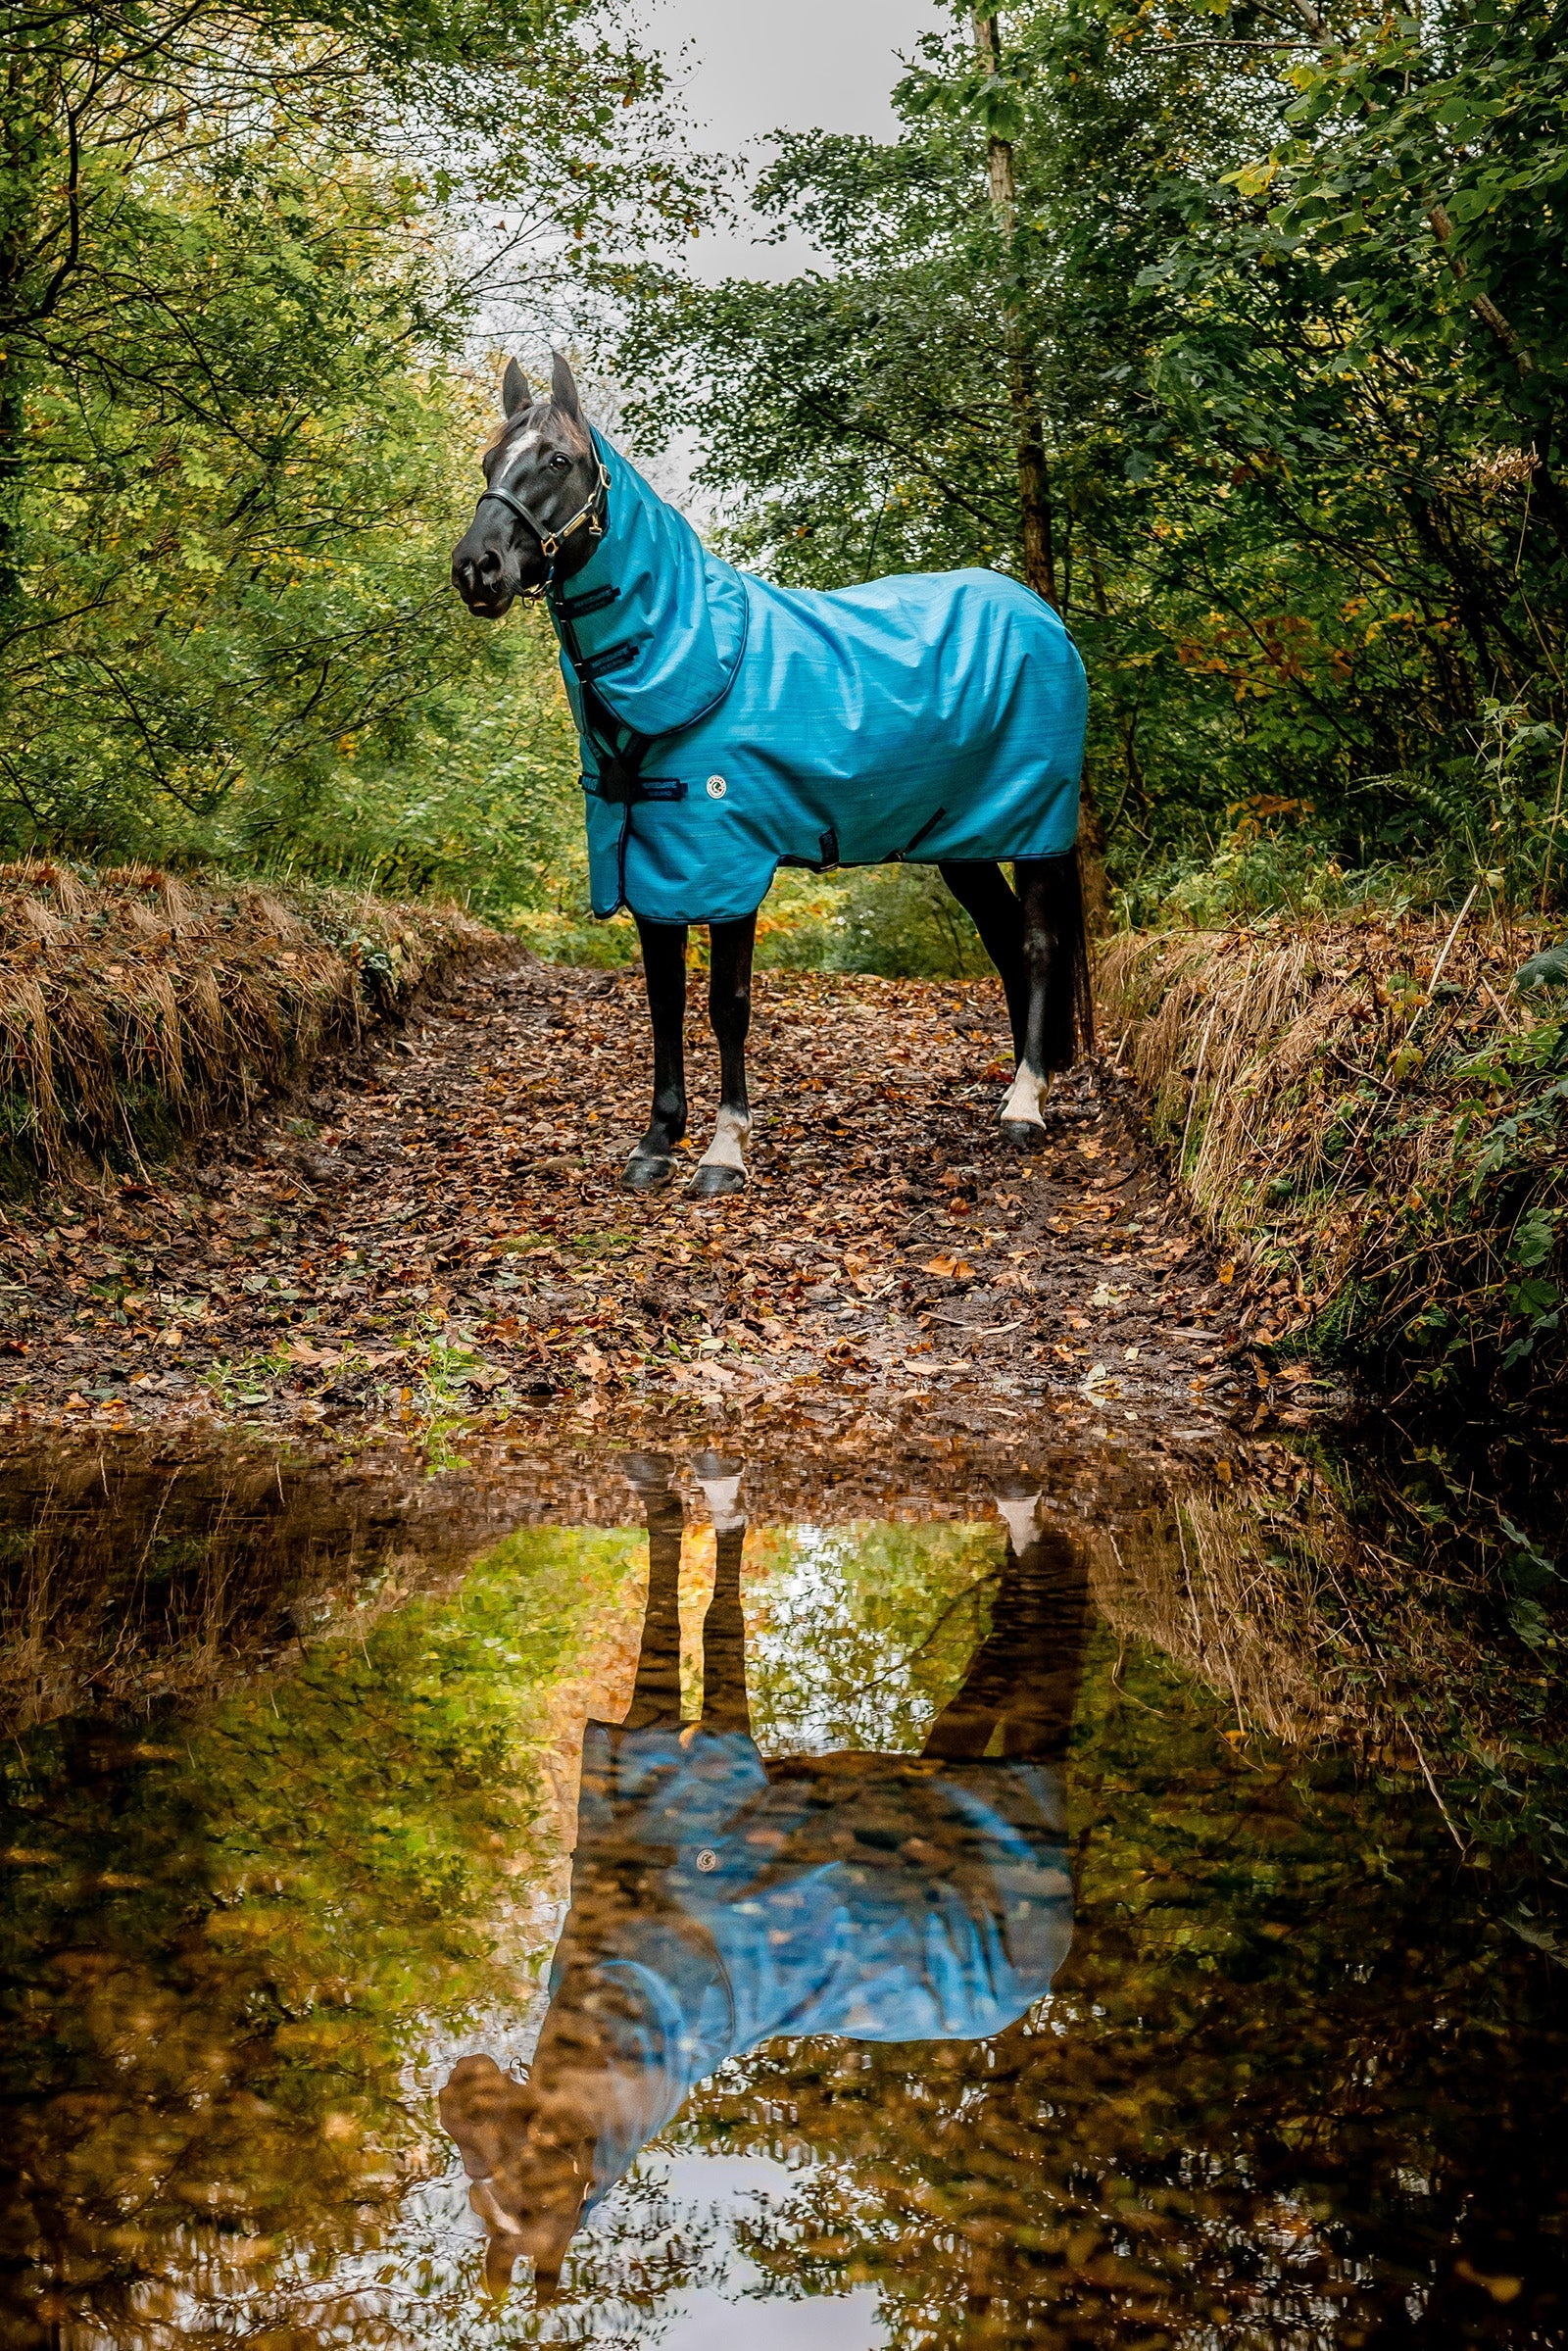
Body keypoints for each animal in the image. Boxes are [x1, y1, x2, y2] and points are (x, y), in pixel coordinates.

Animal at [451, 353, 1093, 1199]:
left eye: (557, 460)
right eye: (490, 461)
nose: (476, 568)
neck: (686, 656)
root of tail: (1039, 612)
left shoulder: (729, 862)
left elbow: (726, 1005)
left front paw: (725, 1151)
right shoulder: (651, 861)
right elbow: (663, 1000)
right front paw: (657, 1141)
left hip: (1037, 828)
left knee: (1041, 944)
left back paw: (1026, 1106)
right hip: (965, 841)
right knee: (1005, 940)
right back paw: (1025, 1085)